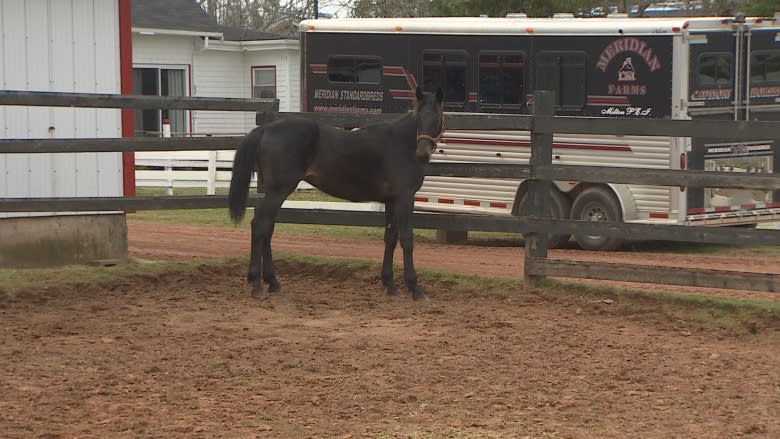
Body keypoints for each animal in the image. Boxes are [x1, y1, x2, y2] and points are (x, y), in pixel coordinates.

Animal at [229, 86, 442, 300]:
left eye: (437, 116)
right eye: (419, 116)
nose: (422, 152)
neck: (401, 143)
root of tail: (265, 129)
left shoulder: (392, 200)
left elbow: (390, 238)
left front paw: (390, 284)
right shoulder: (405, 198)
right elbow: (407, 239)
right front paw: (415, 288)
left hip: (274, 191)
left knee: (268, 229)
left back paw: (273, 282)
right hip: (279, 190)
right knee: (260, 226)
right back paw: (257, 285)